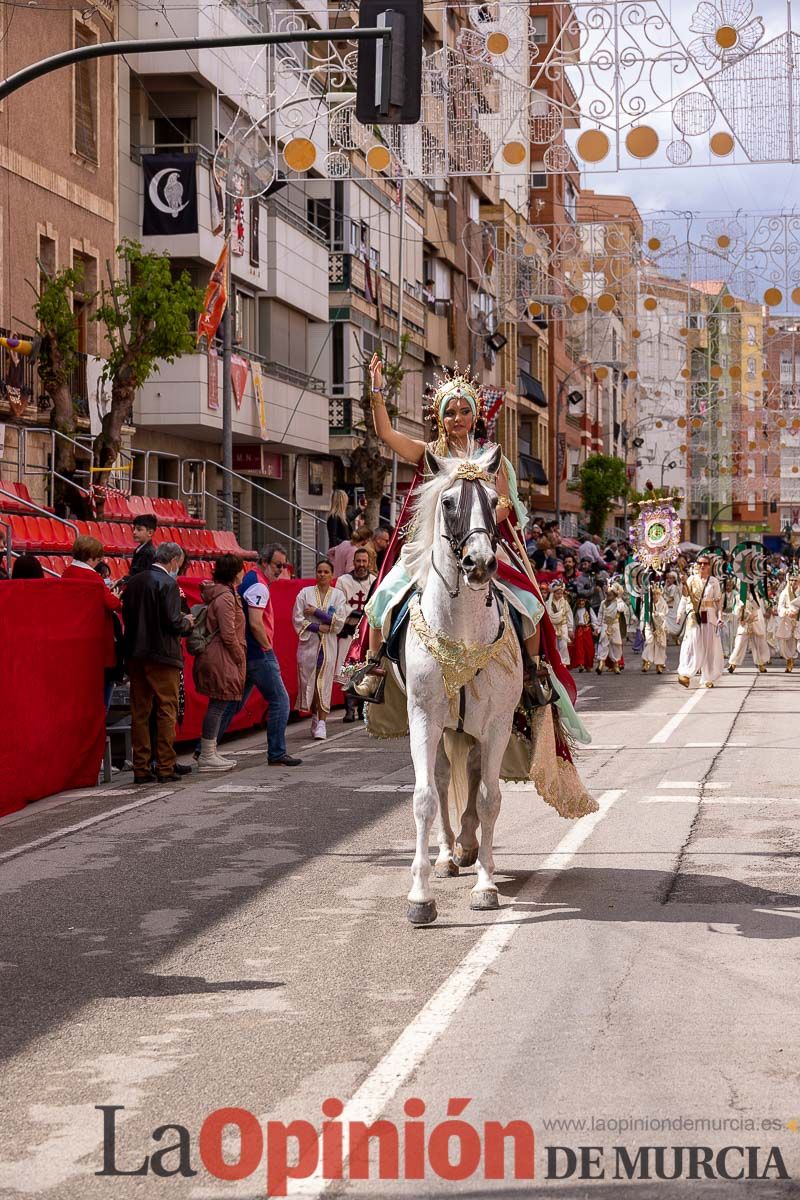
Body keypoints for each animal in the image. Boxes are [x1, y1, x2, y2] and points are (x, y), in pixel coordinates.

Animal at [400, 446, 525, 921]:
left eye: (493, 500)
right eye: (449, 502)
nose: (480, 563)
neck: (464, 632)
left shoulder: (498, 724)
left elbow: (489, 798)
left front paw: (486, 884)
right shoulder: (423, 717)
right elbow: (424, 798)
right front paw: (420, 896)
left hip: (472, 728)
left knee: (470, 774)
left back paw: (467, 847)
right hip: (442, 727)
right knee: (440, 779)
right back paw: (447, 855)